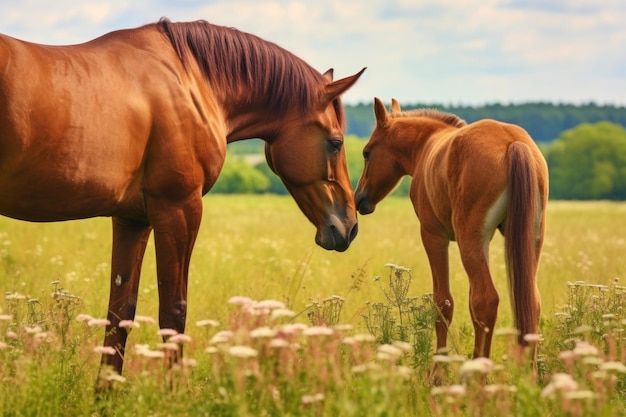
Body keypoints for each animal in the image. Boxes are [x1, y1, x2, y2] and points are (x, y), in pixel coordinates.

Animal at [0, 19, 364, 376]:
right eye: (336, 142)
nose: (350, 226)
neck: (190, 82)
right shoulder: (179, 209)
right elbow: (173, 313)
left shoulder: (132, 220)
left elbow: (120, 313)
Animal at [356, 97, 544, 364]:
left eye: (366, 152)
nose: (359, 198)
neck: (426, 145)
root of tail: (512, 143)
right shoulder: (486, 242)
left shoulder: (434, 236)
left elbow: (443, 304)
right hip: (529, 241)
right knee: (529, 302)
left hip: (468, 239)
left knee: (486, 300)